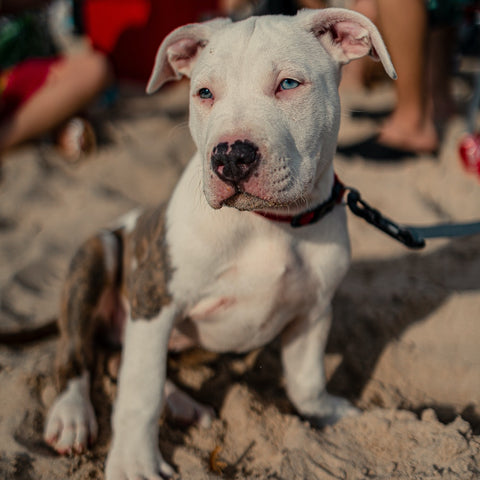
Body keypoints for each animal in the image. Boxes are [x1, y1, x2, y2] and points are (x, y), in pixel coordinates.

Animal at [44, 8, 394, 480]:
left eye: (288, 84)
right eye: (204, 93)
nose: (230, 156)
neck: (269, 224)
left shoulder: (315, 308)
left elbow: (306, 379)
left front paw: (329, 414)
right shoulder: (155, 299)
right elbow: (140, 390)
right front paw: (134, 462)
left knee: (123, 359)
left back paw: (182, 404)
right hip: (99, 251)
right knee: (77, 353)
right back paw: (72, 415)